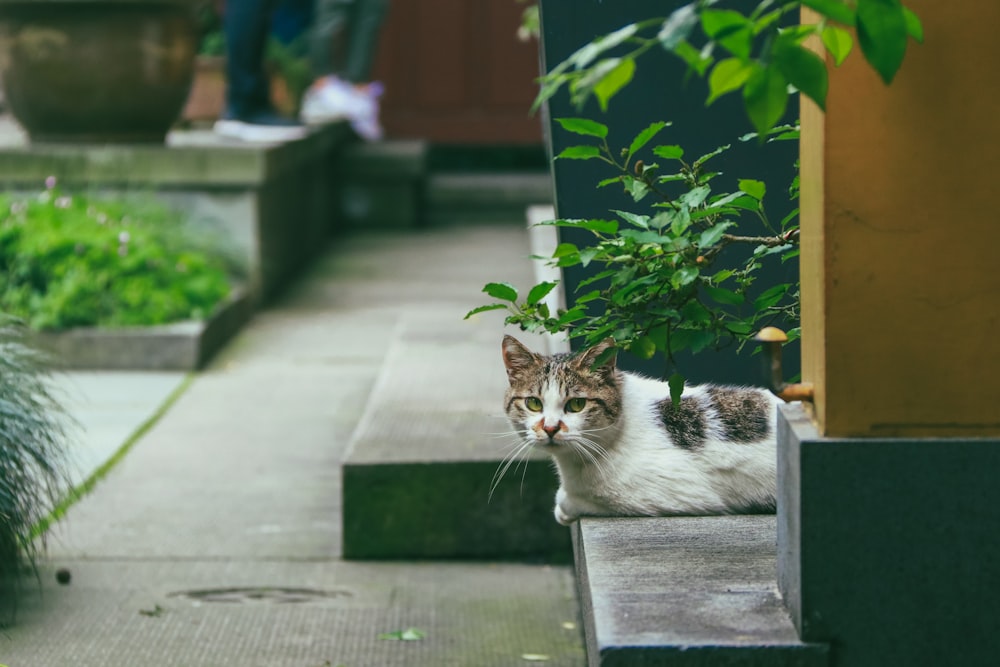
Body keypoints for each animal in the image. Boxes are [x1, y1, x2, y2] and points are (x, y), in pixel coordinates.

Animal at [500, 336, 780, 524]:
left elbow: (580, 500)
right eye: (533, 403)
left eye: (577, 404)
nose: (550, 428)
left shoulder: (677, 493)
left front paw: (563, 505)